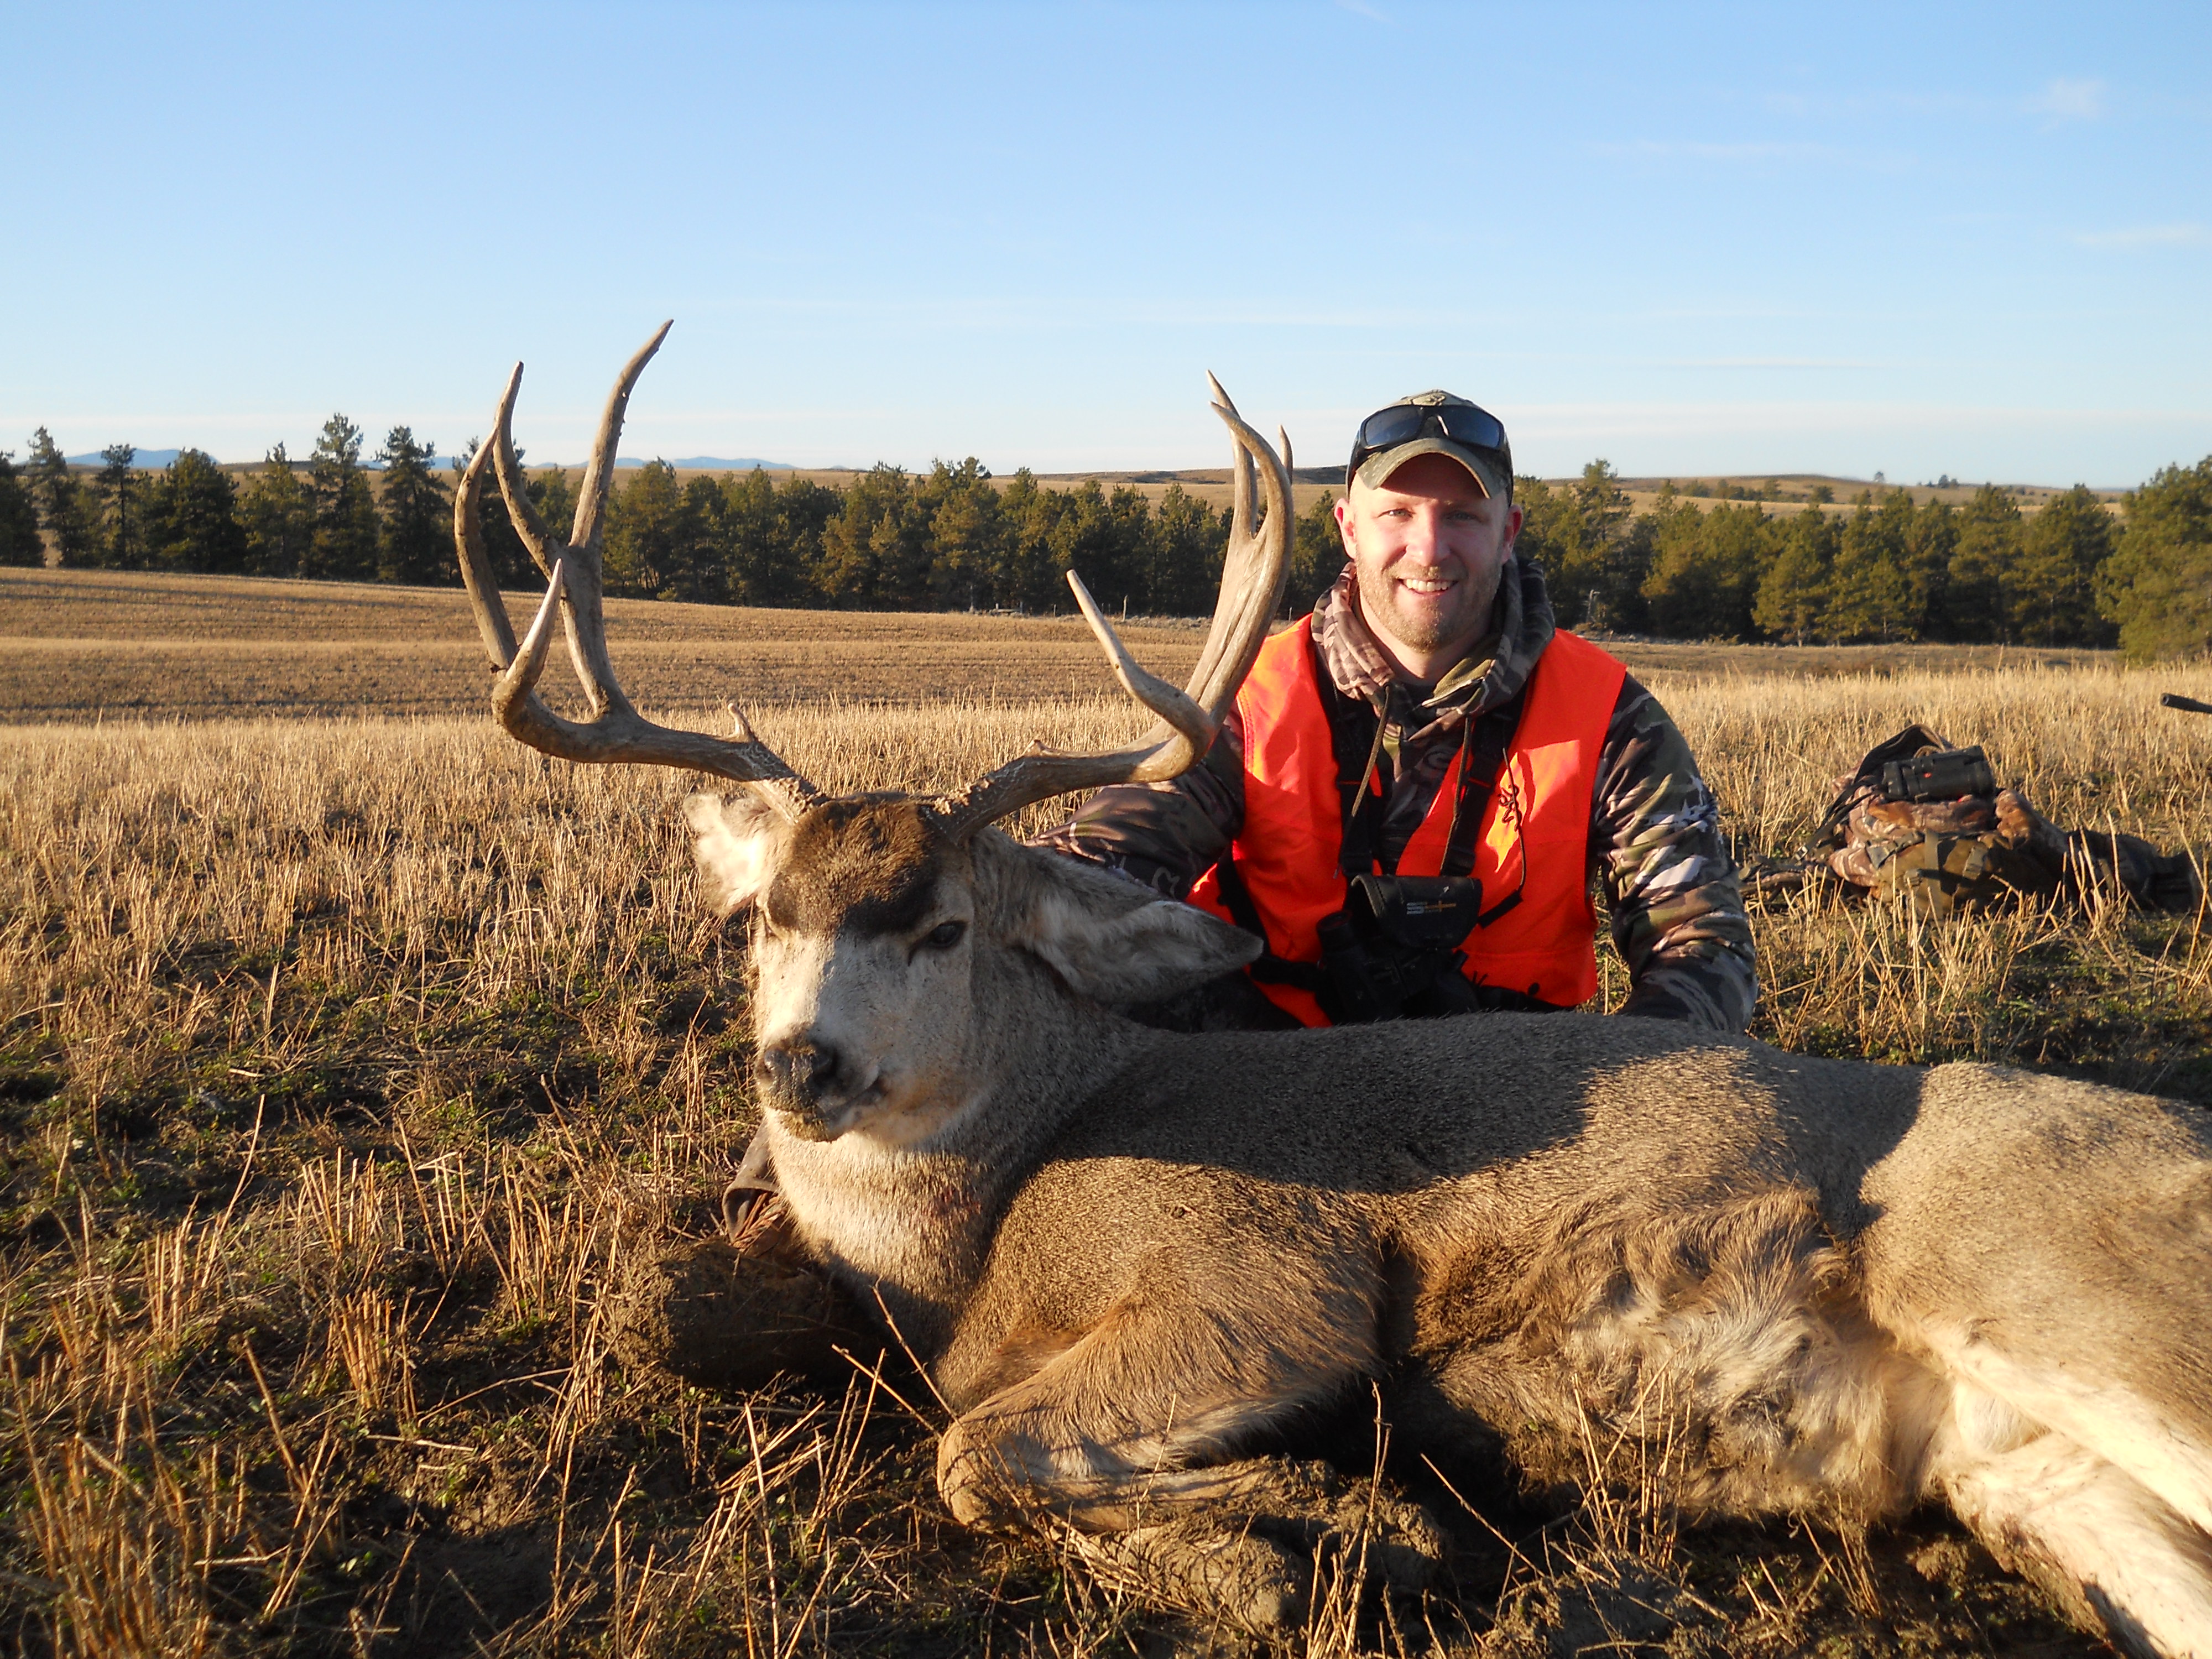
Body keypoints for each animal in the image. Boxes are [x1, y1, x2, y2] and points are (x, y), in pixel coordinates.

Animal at [453, 324, 2212, 1655]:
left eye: (948, 925)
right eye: (764, 918)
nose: (802, 1068)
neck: (998, 1205)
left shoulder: (1265, 1271)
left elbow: (968, 1446)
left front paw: (1317, 1530)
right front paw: (1331, 1524)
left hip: (2067, 1295)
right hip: (2031, 1473)